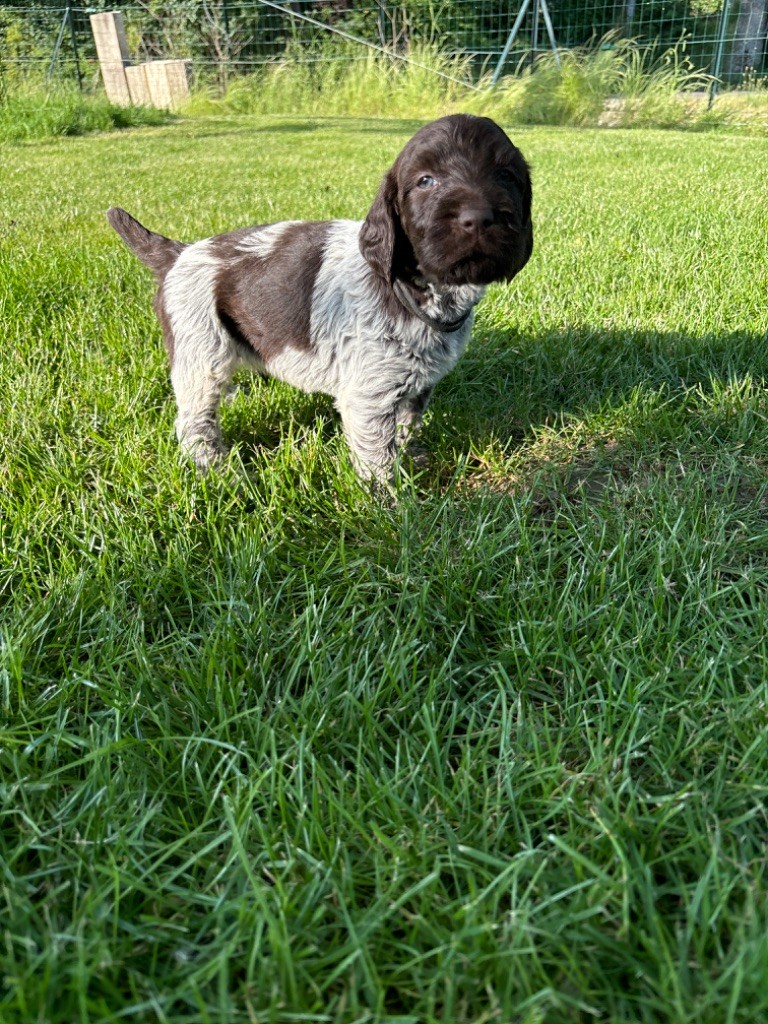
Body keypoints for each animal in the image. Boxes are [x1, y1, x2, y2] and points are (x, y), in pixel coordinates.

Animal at [107, 114, 528, 481]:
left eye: (506, 175)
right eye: (426, 181)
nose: (479, 217)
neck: (414, 289)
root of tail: (178, 254)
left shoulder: (418, 385)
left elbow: (406, 428)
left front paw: (411, 461)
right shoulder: (368, 397)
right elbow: (378, 457)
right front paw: (393, 505)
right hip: (200, 350)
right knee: (194, 422)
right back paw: (219, 473)